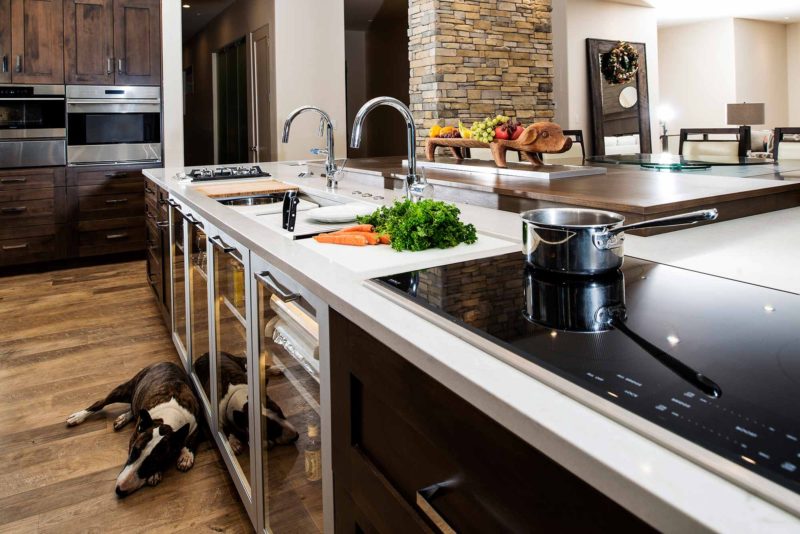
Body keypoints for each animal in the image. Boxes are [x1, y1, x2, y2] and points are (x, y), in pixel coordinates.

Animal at [67, 362, 202, 500]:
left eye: (154, 462)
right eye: (133, 451)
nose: (119, 490)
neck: (169, 418)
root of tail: (166, 362)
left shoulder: (197, 422)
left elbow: (191, 439)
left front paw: (186, 456)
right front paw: (155, 474)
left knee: (133, 407)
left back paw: (123, 418)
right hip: (124, 390)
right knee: (101, 403)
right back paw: (78, 417)